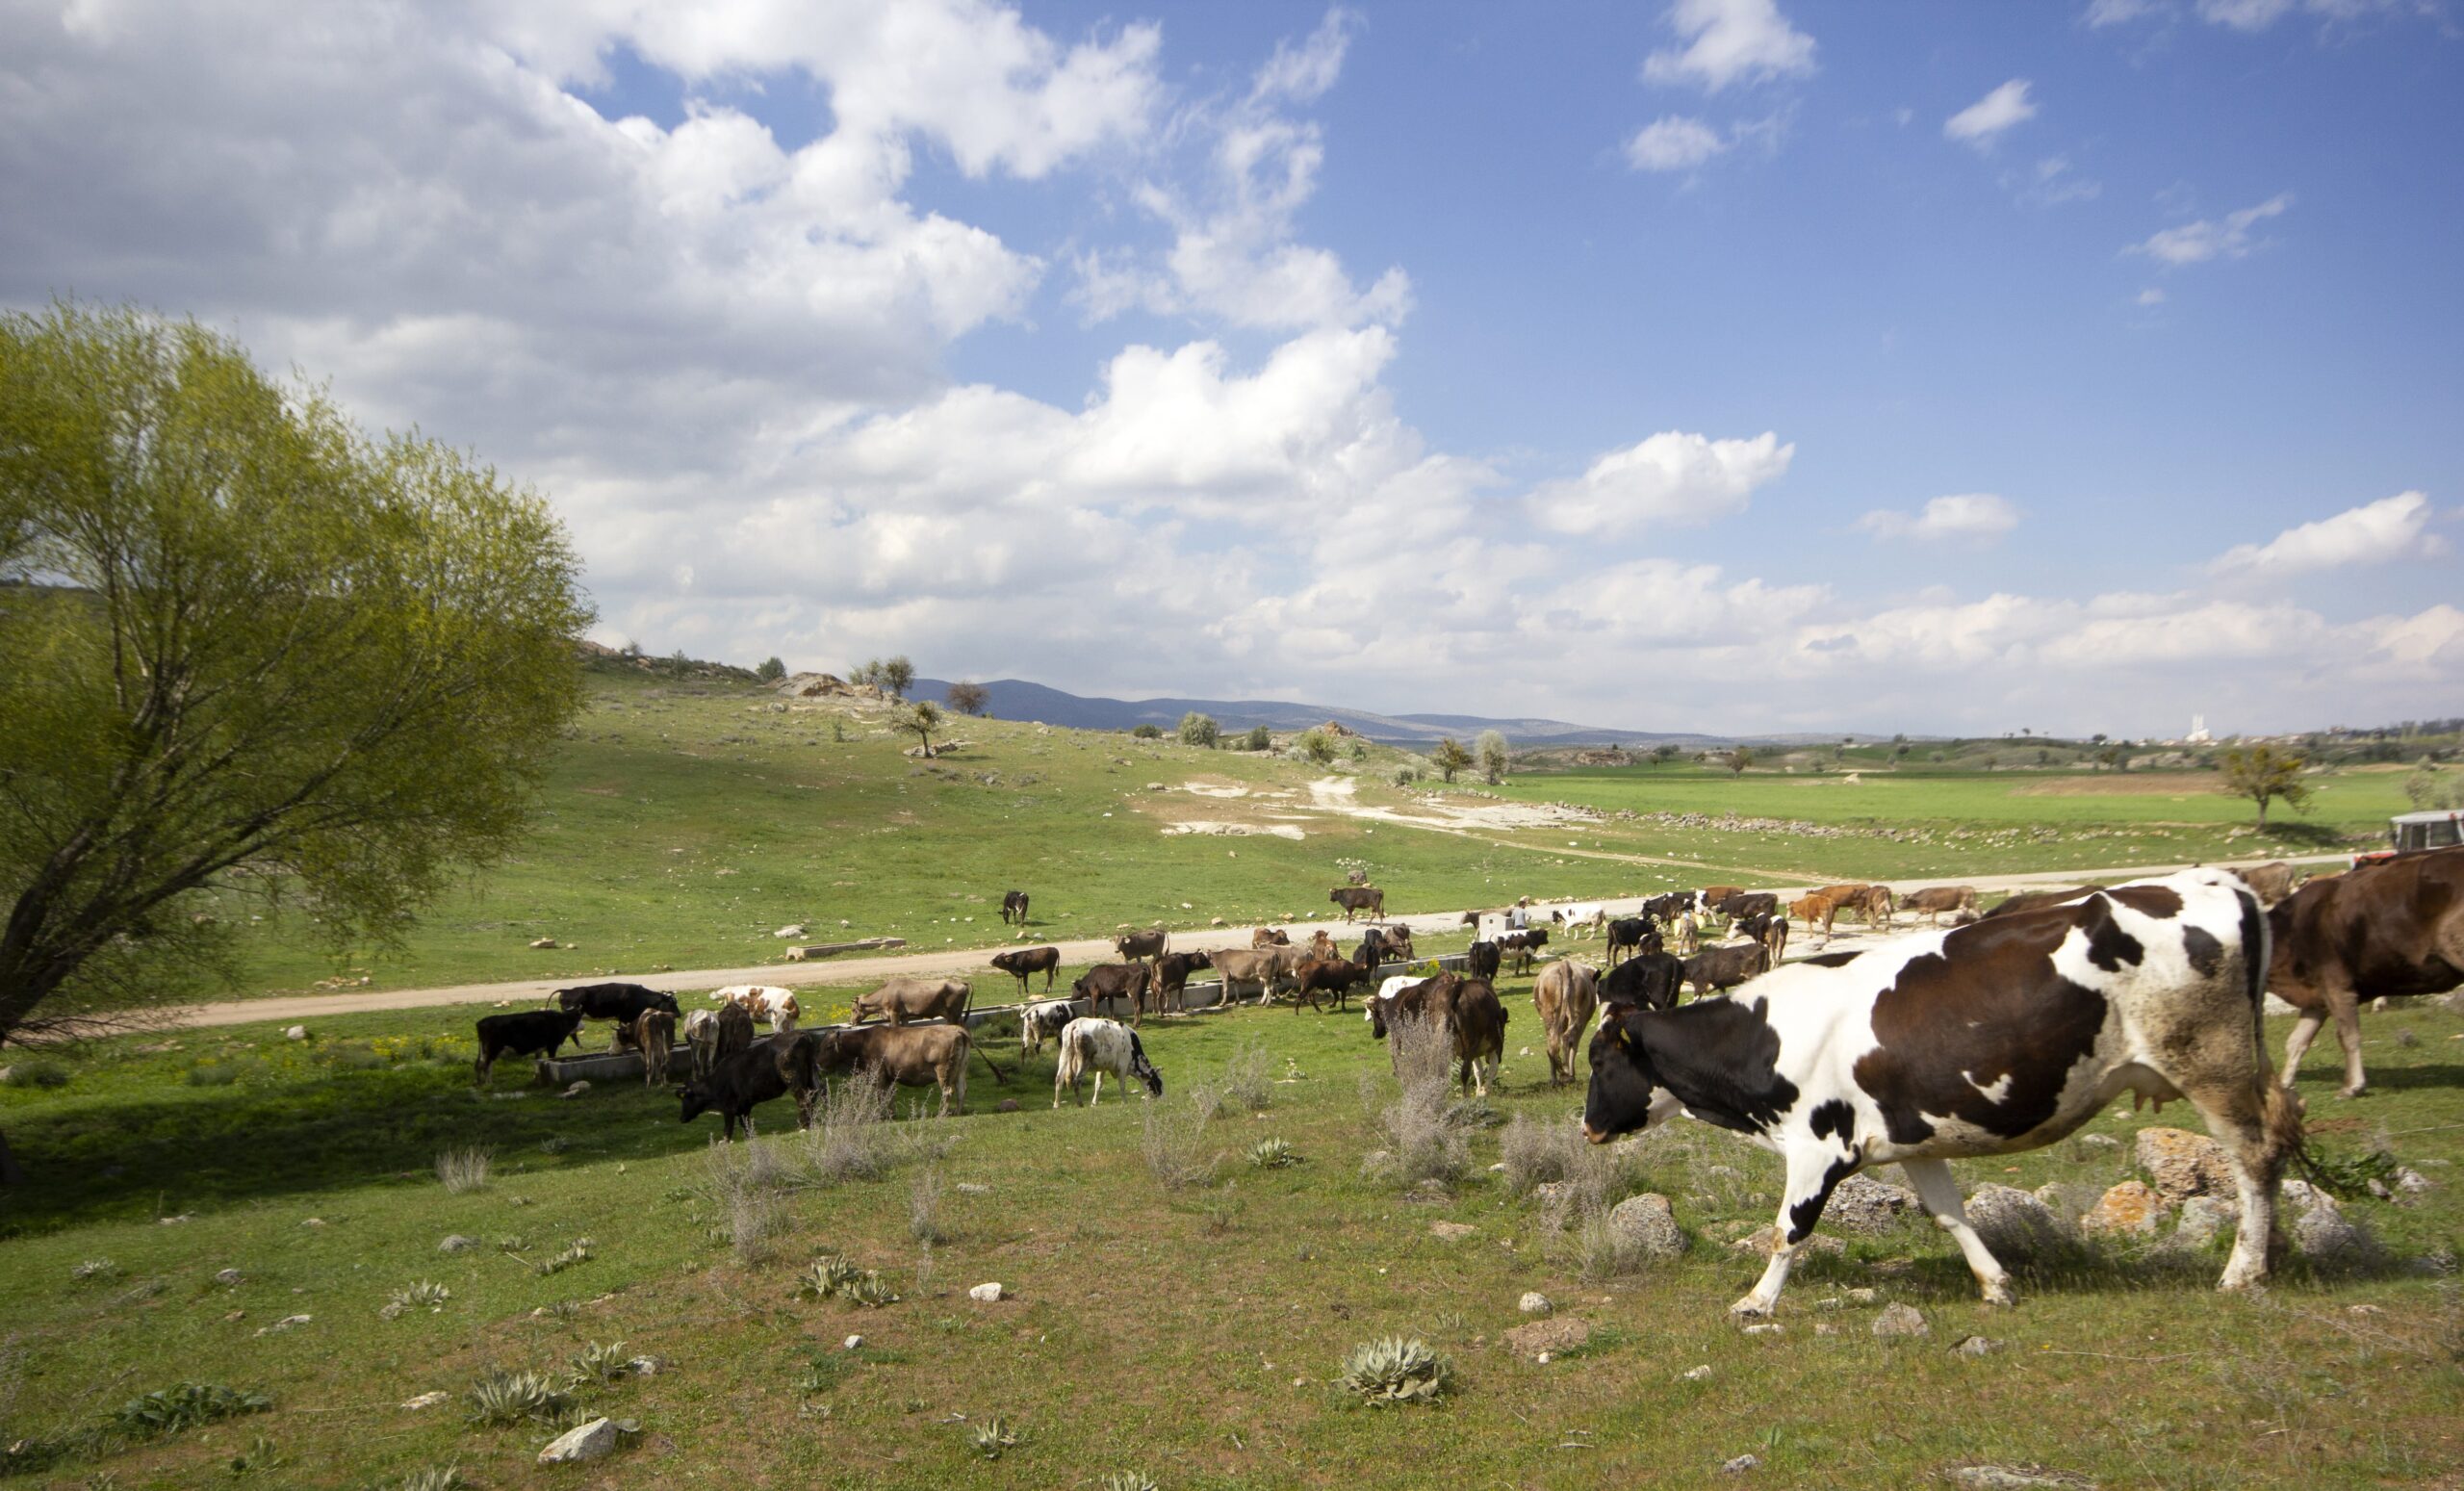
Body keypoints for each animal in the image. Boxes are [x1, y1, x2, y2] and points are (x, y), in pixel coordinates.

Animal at [679, 1031, 823, 1141]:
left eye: (685, 1099)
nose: (681, 1119)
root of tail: (803, 1035)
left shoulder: (729, 1106)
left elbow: (729, 1124)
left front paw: (724, 1140)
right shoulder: (744, 1106)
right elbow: (745, 1123)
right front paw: (750, 1137)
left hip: (793, 1081)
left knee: (803, 1099)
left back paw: (803, 1126)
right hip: (810, 1077)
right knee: (813, 1096)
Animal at [811, 1022, 978, 1117]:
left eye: (829, 1046)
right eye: (820, 1046)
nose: (817, 1064)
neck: (864, 1041)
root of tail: (956, 1030)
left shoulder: (878, 1075)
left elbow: (880, 1096)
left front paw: (879, 1115)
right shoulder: (890, 1076)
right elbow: (890, 1095)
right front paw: (891, 1114)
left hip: (943, 1071)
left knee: (948, 1091)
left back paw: (942, 1113)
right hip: (960, 1071)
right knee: (962, 1090)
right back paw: (957, 1111)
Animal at [1534, 960, 1600, 1086]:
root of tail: (1565, 966)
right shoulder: (1584, 1021)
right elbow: (1574, 1045)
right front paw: (1572, 1074)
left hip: (1551, 1015)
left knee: (1553, 1043)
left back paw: (1555, 1079)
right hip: (1578, 1017)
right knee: (1568, 1039)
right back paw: (1566, 1074)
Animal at [1580, 869, 2301, 1317]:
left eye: (1598, 1059)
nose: (1586, 1125)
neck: (1764, 1035)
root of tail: (2220, 882)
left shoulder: (1819, 1146)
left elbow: (1789, 1229)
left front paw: (1758, 1301)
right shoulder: (1913, 1140)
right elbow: (1951, 1214)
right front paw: (1996, 1283)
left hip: (2212, 1064)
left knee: (2256, 1157)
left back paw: (2244, 1271)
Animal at [2268, 846, 2464, 1098]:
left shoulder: (2337, 985)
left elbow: (2347, 1035)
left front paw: (2353, 1086)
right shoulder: (2316, 994)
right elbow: (2296, 1041)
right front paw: (2284, 1085)